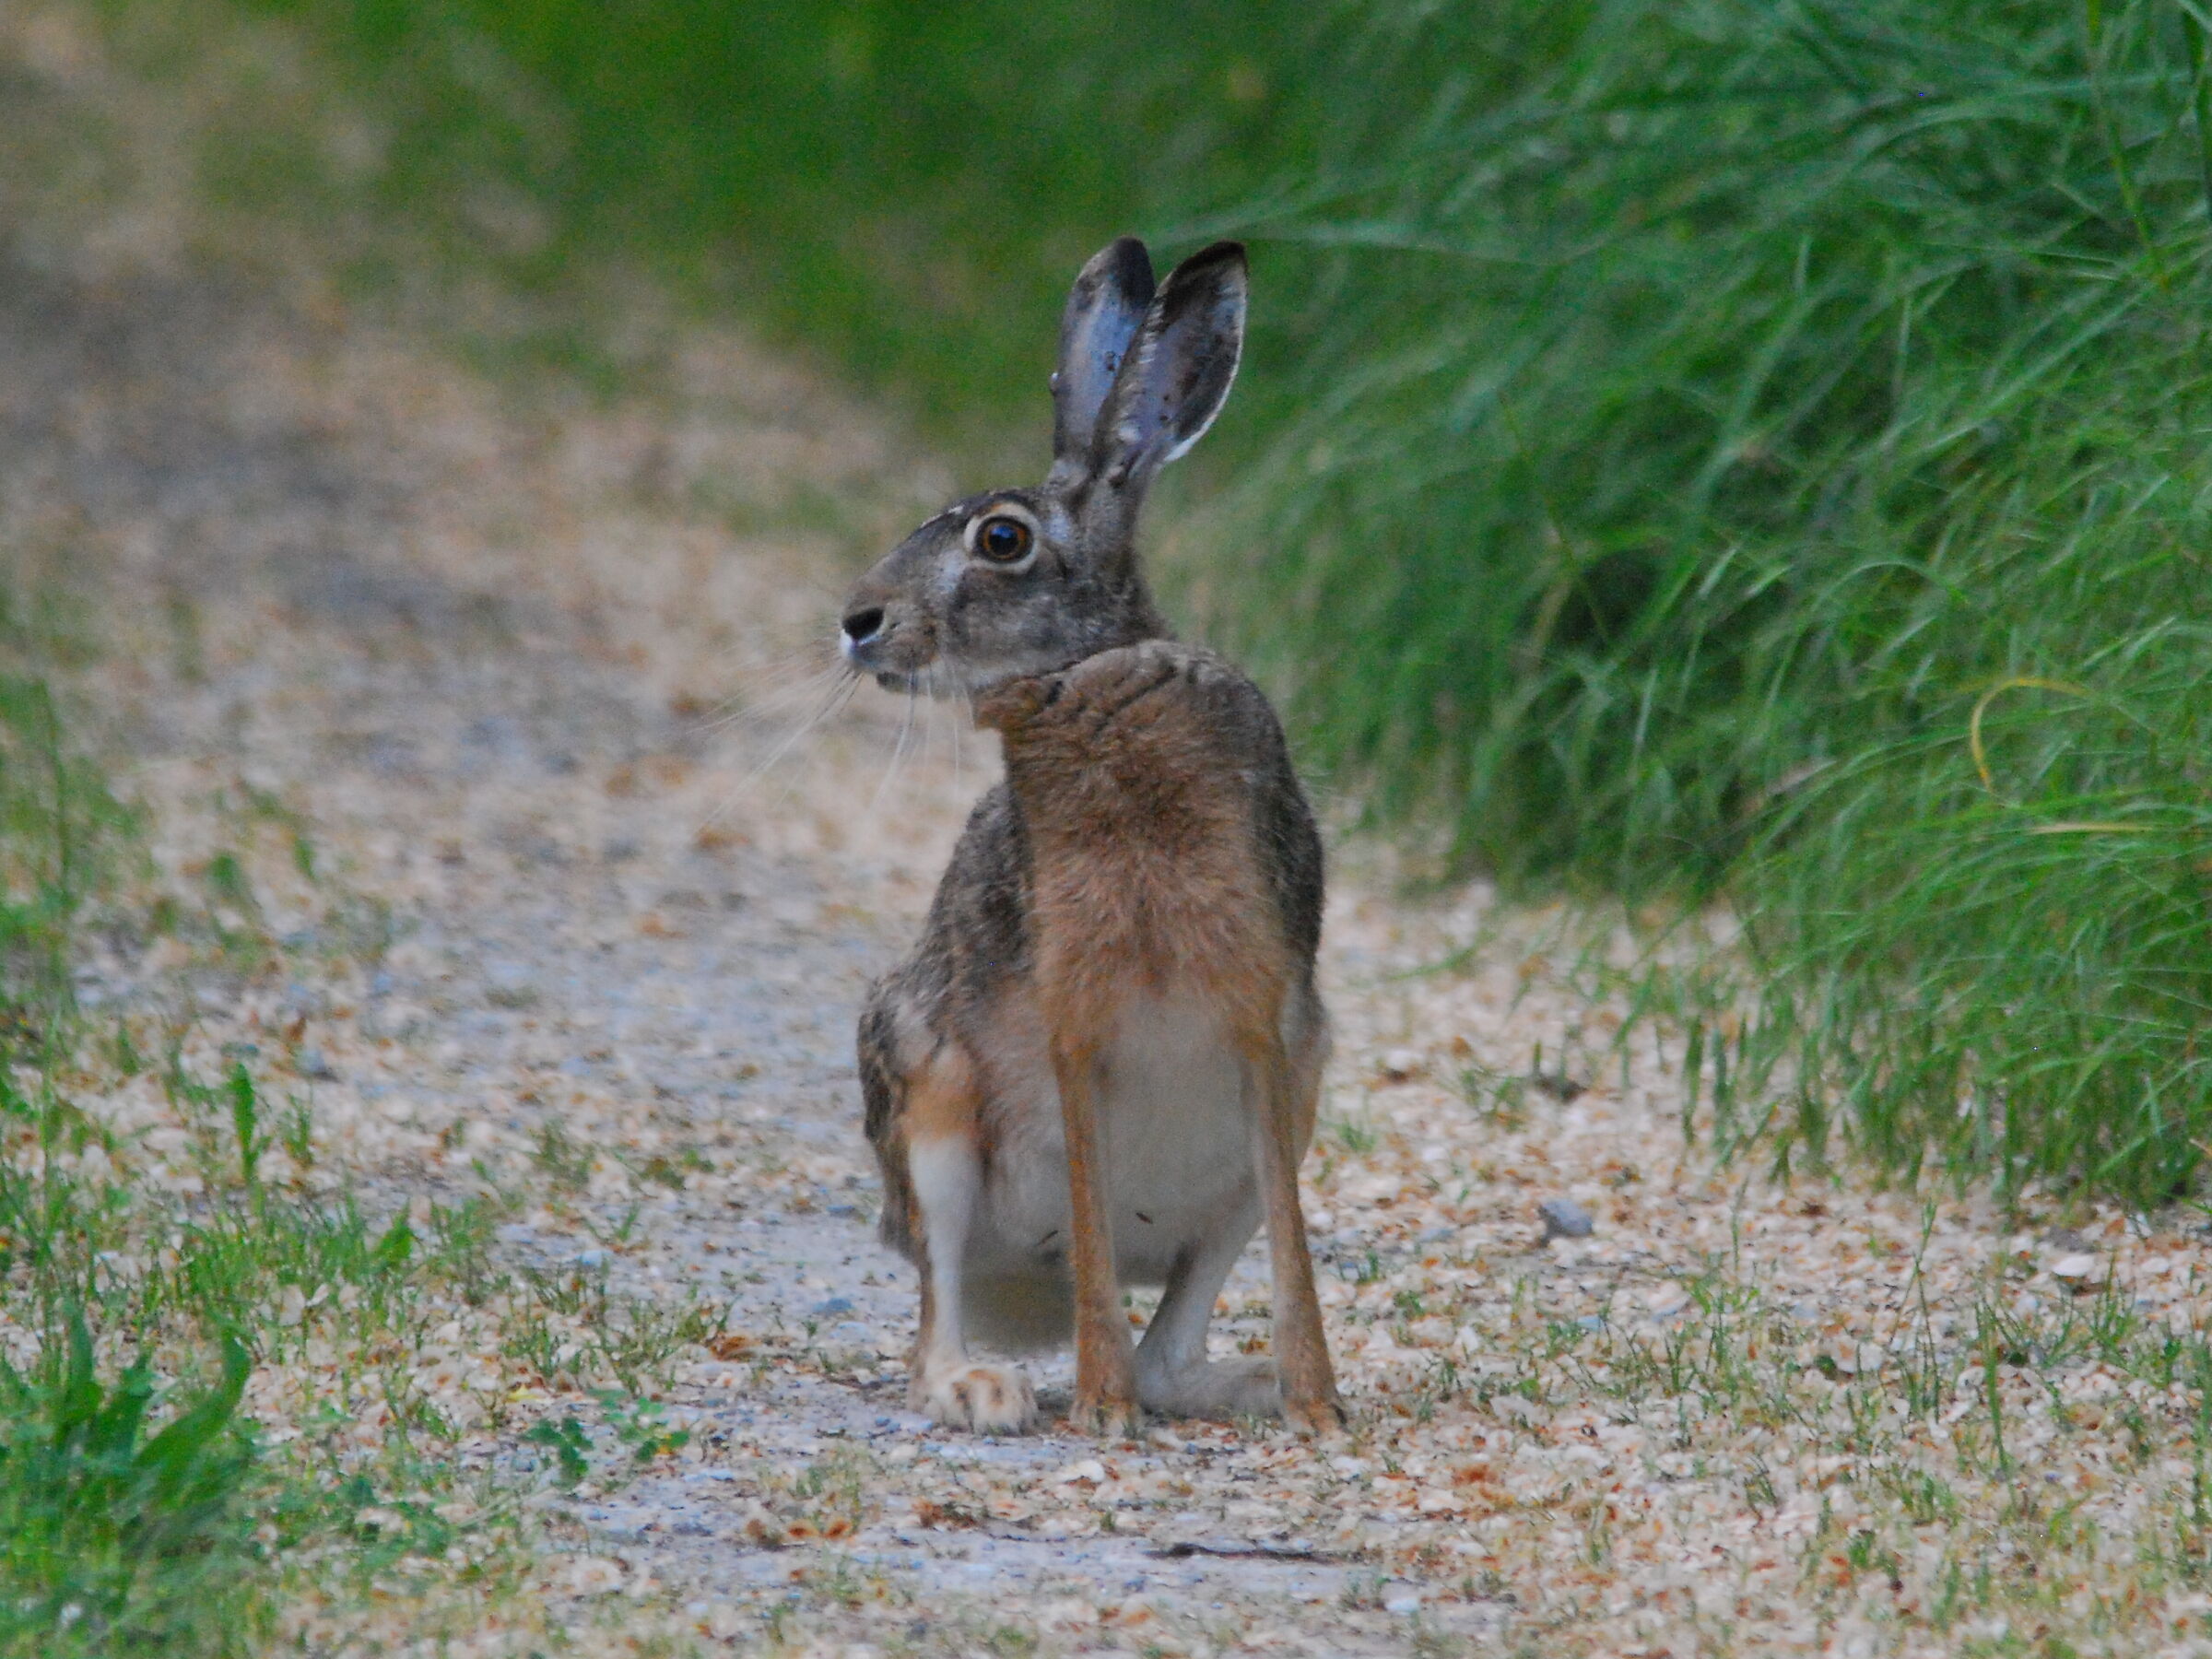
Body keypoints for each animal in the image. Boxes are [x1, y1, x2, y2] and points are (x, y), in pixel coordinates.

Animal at [839, 237, 1342, 1437]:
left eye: (1002, 539)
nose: (857, 621)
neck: (1088, 679)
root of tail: (1021, 1296)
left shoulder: (1269, 1026)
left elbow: (1295, 1250)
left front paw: (1319, 1406)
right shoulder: (1073, 1020)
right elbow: (1088, 1203)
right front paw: (1099, 1412)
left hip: (1287, 1117)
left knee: (1173, 1339)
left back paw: (1240, 1387)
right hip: (924, 1090)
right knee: (934, 1316)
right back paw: (988, 1387)